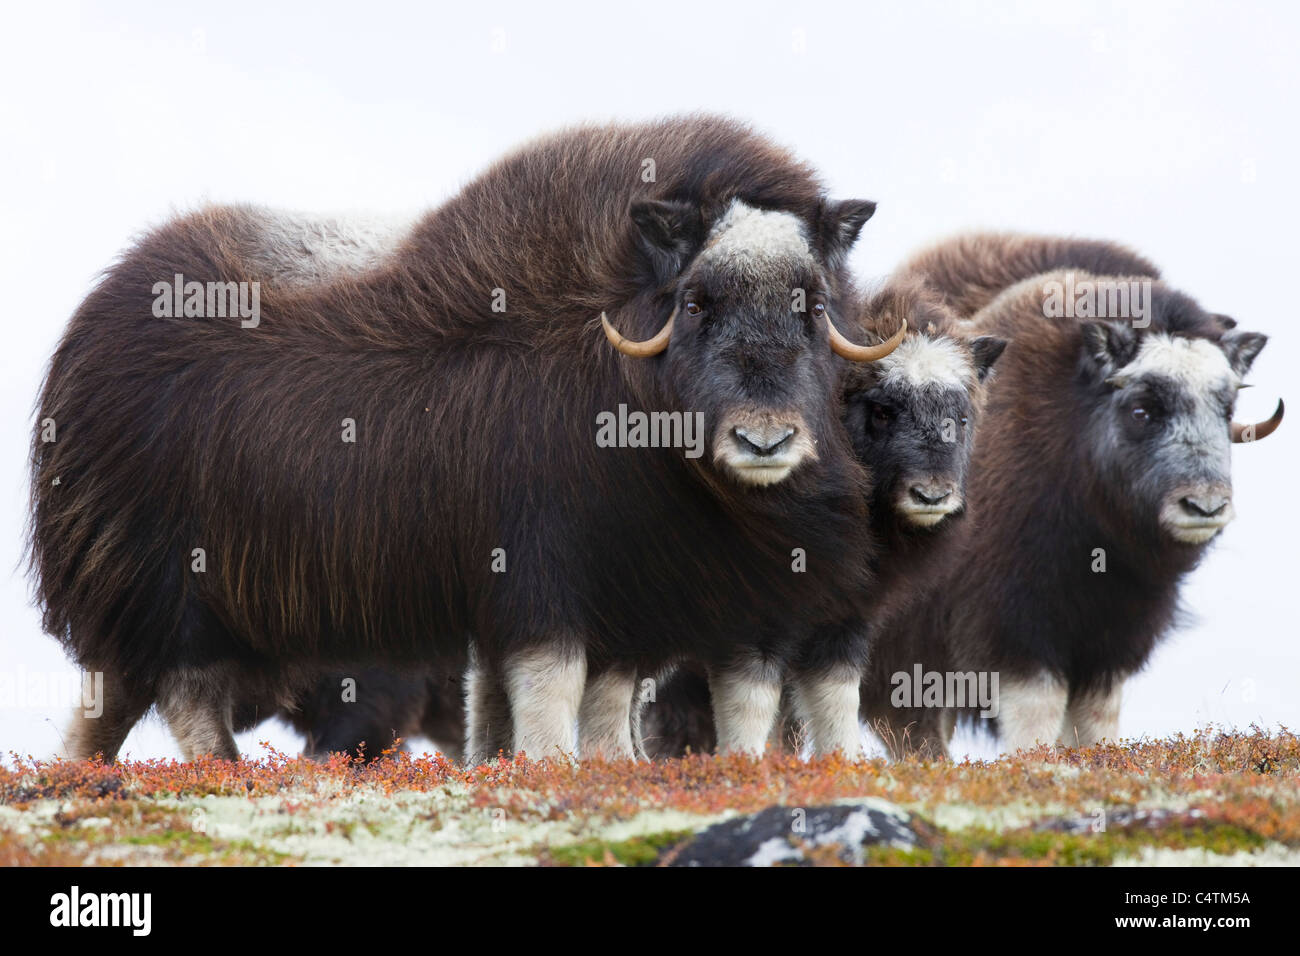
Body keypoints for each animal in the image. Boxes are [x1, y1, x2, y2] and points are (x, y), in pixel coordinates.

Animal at [32, 115, 904, 764]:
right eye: (696, 302)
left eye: (811, 303)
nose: (766, 440)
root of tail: (86, 333)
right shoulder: (541, 571)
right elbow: (552, 688)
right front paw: (553, 771)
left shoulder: (626, 592)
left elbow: (599, 702)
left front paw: (609, 771)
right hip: (175, 585)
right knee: (185, 692)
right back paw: (226, 774)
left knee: (110, 702)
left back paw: (81, 780)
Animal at [637, 273, 1003, 759]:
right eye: (882, 410)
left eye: (960, 418)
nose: (931, 495)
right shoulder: (756, 620)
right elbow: (752, 706)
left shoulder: (842, 621)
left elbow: (834, 701)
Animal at [863, 235, 1279, 759]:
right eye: (1141, 411)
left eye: (1227, 408)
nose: (1205, 506)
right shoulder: (1015, 629)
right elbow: (1037, 717)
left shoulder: (1111, 644)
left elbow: (1095, 724)